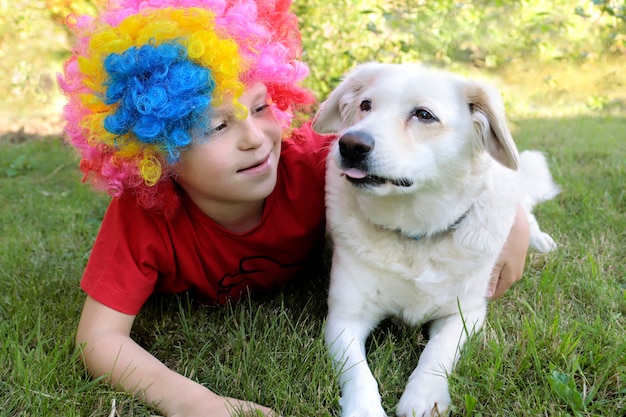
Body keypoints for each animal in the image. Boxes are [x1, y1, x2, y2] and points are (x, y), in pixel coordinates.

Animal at [310, 62, 560, 416]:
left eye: (424, 115)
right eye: (365, 105)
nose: (350, 144)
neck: (414, 236)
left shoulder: (465, 315)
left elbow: (438, 351)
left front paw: (423, 396)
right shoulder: (344, 318)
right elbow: (358, 372)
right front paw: (365, 408)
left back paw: (541, 241)